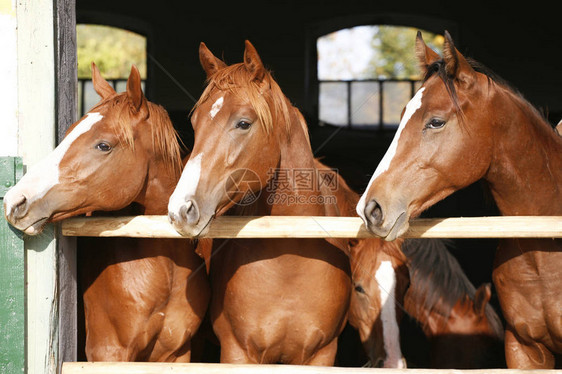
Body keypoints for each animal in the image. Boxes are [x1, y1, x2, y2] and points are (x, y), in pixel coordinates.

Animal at [166, 41, 350, 366]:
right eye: (195, 124)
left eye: (243, 123)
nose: (181, 209)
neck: (290, 262)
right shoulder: (238, 352)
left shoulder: (321, 354)